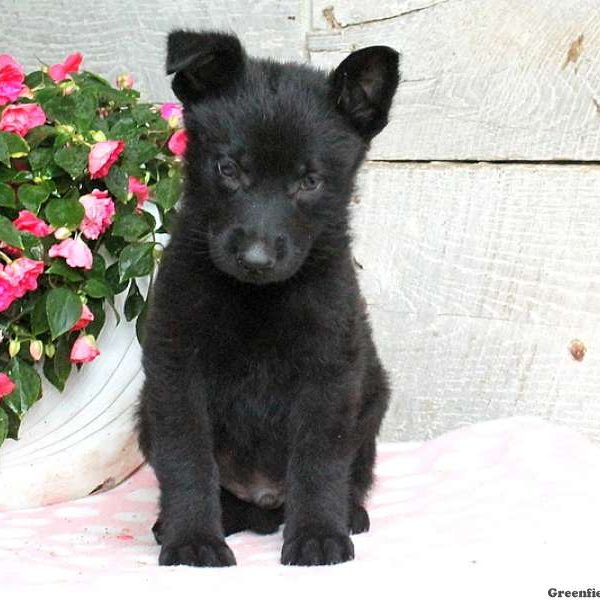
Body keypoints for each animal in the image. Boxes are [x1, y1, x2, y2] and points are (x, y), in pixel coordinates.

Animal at [136, 30, 398, 568]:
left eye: (309, 181)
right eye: (228, 169)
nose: (256, 259)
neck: (257, 298)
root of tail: (264, 499)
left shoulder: (331, 370)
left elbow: (320, 460)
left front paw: (318, 535)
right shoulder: (175, 367)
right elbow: (187, 458)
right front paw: (192, 540)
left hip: (373, 400)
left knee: (352, 472)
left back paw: (349, 513)